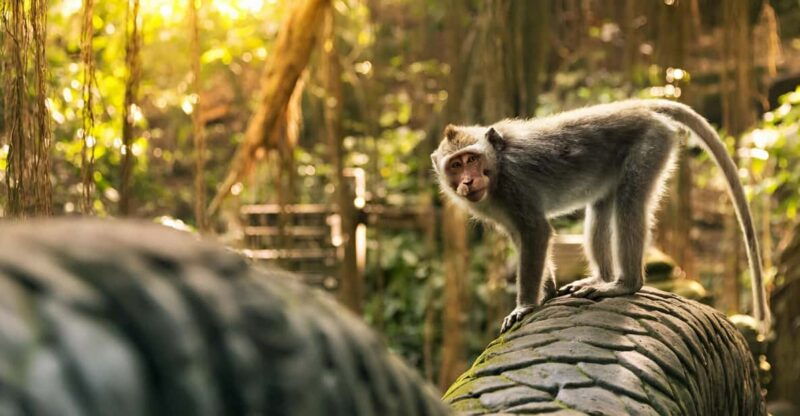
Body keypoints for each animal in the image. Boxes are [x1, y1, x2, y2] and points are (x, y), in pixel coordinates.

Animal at [431, 99, 770, 334]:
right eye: (456, 165)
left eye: (472, 159)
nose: (468, 181)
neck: (498, 167)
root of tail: (639, 106)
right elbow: (522, 237)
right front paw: (548, 290)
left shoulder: (515, 186)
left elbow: (536, 232)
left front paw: (525, 305)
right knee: (600, 208)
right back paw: (602, 278)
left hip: (651, 144)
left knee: (629, 204)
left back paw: (625, 284)